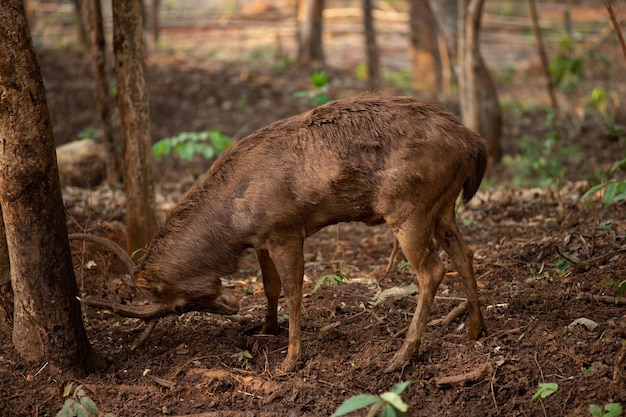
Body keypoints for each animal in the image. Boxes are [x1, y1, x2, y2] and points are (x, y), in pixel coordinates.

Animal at [69, 94, 488, 370]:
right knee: (464, 253)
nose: (230, 306)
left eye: (175, 304)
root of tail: (475, 144)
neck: (232, 223)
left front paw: (291, 360)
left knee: (432, 270)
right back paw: (473, 331)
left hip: (407, 205)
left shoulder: (287, 228)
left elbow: (294, 291)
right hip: (443, 204)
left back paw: (400, 357)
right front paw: (265, 328)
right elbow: (269, 286)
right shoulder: (261, 239)